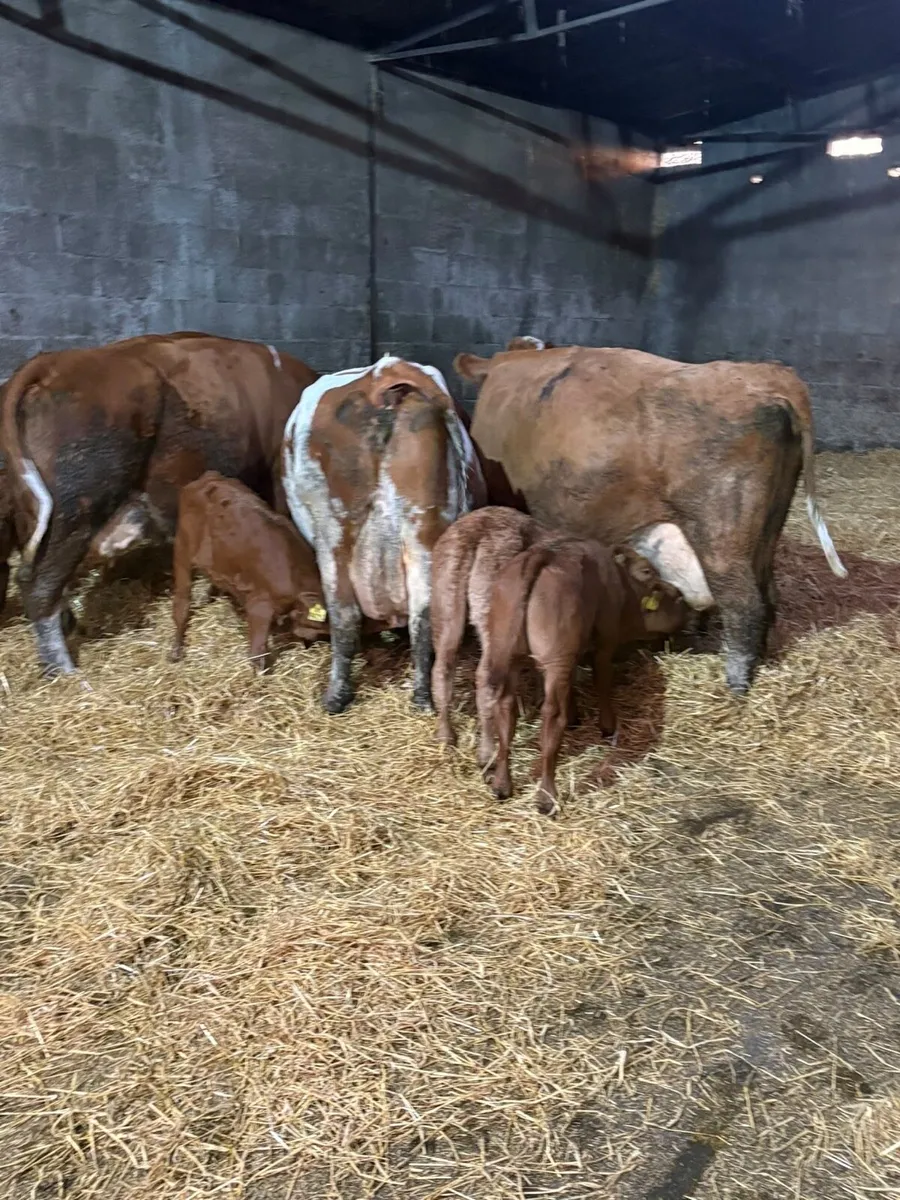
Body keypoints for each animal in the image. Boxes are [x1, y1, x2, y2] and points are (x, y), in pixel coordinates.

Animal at [169, 471, 327, 671]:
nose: (310, 643)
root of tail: (208, 477)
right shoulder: (260, 605)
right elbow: (257, 654)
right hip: (182, 549)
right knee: (181, 604)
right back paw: (176, 651)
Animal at [282, 353, 486, 715]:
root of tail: (382, 374)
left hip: (333, 529)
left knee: (344, 615)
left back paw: (336, 696)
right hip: (425, 530)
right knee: (424, 616)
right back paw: (422, 698)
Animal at [431, 508, 686, 813]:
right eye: (648, 572)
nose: (681, 597)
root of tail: (476, 529)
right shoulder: (603, 640)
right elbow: (600, 678)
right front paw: (605, 726)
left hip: (450, 609)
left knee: (446, 670)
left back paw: (451, 740)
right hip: (505, 634)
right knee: (524, 701)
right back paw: (515, 775)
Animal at [456, 343, 847, 696]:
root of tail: (770, 378)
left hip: (723, 539)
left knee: (745, 605)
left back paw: (737, 683)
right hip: (765, 534)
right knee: (768, 594)